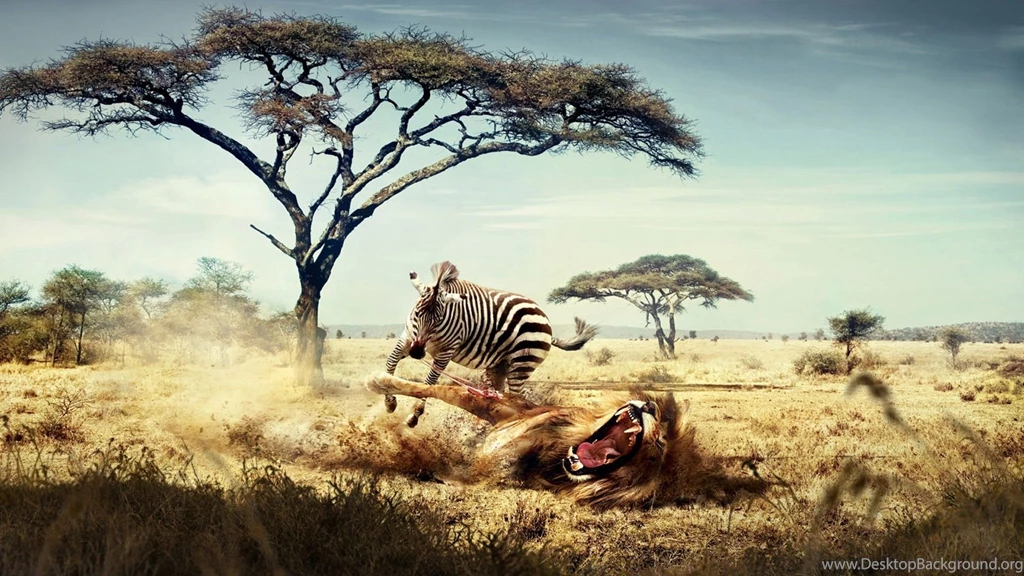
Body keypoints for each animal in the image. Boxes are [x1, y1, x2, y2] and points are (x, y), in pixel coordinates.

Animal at [365, 372, 714, 508]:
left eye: (659, 446)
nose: (650, 406)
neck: (555, 458)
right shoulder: (505, 408)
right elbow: (442, 390)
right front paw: (380, 383)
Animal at [384, 261, 598, 427]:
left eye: (438, 320)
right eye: (417, 313)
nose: (417, 353)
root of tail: (544, 317)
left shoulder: (446, 351)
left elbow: (428, 383)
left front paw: (414, 416)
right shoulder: (408, 337)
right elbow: (390, 363)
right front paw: (389, 402)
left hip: (522, 363)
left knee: (518, 398)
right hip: (499, 365)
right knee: (502, 397)